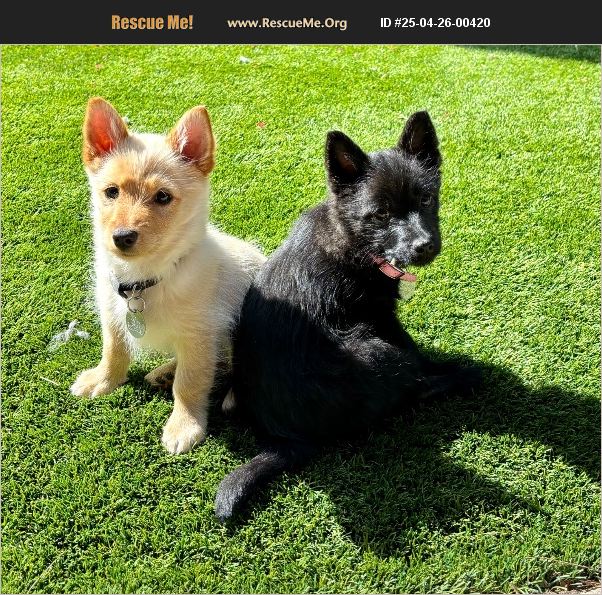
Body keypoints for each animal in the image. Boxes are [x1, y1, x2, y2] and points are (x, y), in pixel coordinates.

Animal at [70, 98, 266, 454]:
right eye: (111, 192)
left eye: (163, 196)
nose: (122, 237)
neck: (147, 278)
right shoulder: (111, 312)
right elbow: (114, 349)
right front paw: (104, 380)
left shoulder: (199, 334)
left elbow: (190, 382)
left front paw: (184, 426)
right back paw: (163, 372)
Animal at [214, 111, 481, 520]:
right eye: (381, 213)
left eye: (425, 197)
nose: (424, 246)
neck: (356, 242)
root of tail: (285, 439)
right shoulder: (381, 318)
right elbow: (415, 352)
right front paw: (448, 367)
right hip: (377, 353)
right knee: (408, 391)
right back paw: (460, 379)